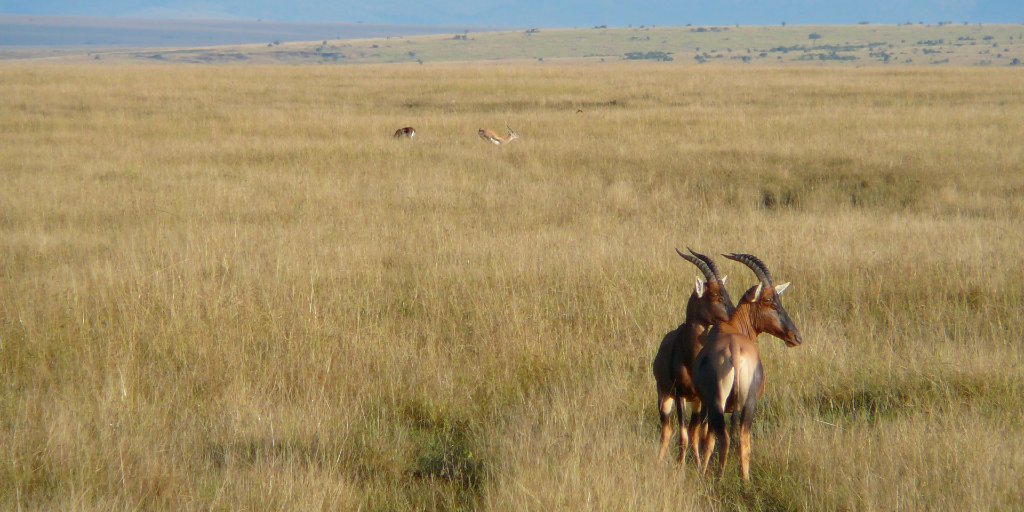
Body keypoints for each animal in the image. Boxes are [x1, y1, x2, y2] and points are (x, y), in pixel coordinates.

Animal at [651, 247, 733, 464]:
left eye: (725, 292)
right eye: (714, 294)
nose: (732, 315)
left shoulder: (701, 398)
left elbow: (696, 434)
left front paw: (697, 465)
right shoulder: (679, 394)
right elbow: (683, 434)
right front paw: (680, 466)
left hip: (693, 401)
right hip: (664, 396)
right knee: (667, 430)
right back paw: (659, 462)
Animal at [692, 253, 802, 481]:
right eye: (769, 300)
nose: (796, 337)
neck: (730, 328)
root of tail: (734, 349)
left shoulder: (707, 404)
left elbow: (708, 441)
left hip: (717, 403)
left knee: (724, 438)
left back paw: (720, 478)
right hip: (750, 402)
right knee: (743, 440)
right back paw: (745, 481)